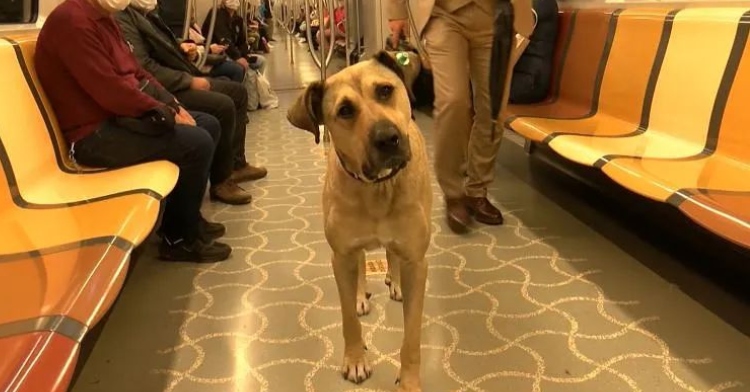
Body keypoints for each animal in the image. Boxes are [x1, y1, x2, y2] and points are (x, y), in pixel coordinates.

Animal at [286, 52, 432, 392]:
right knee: (362, 262)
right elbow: (348, 320)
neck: (377, 188)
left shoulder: (417, 262)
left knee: (391, 255)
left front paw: (409, 381)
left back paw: (394, 280)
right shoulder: (340, 256)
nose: (388, 138)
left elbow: (412, 335)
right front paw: (354, 359)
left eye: (385, 90)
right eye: (345, 111)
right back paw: (359, 294)